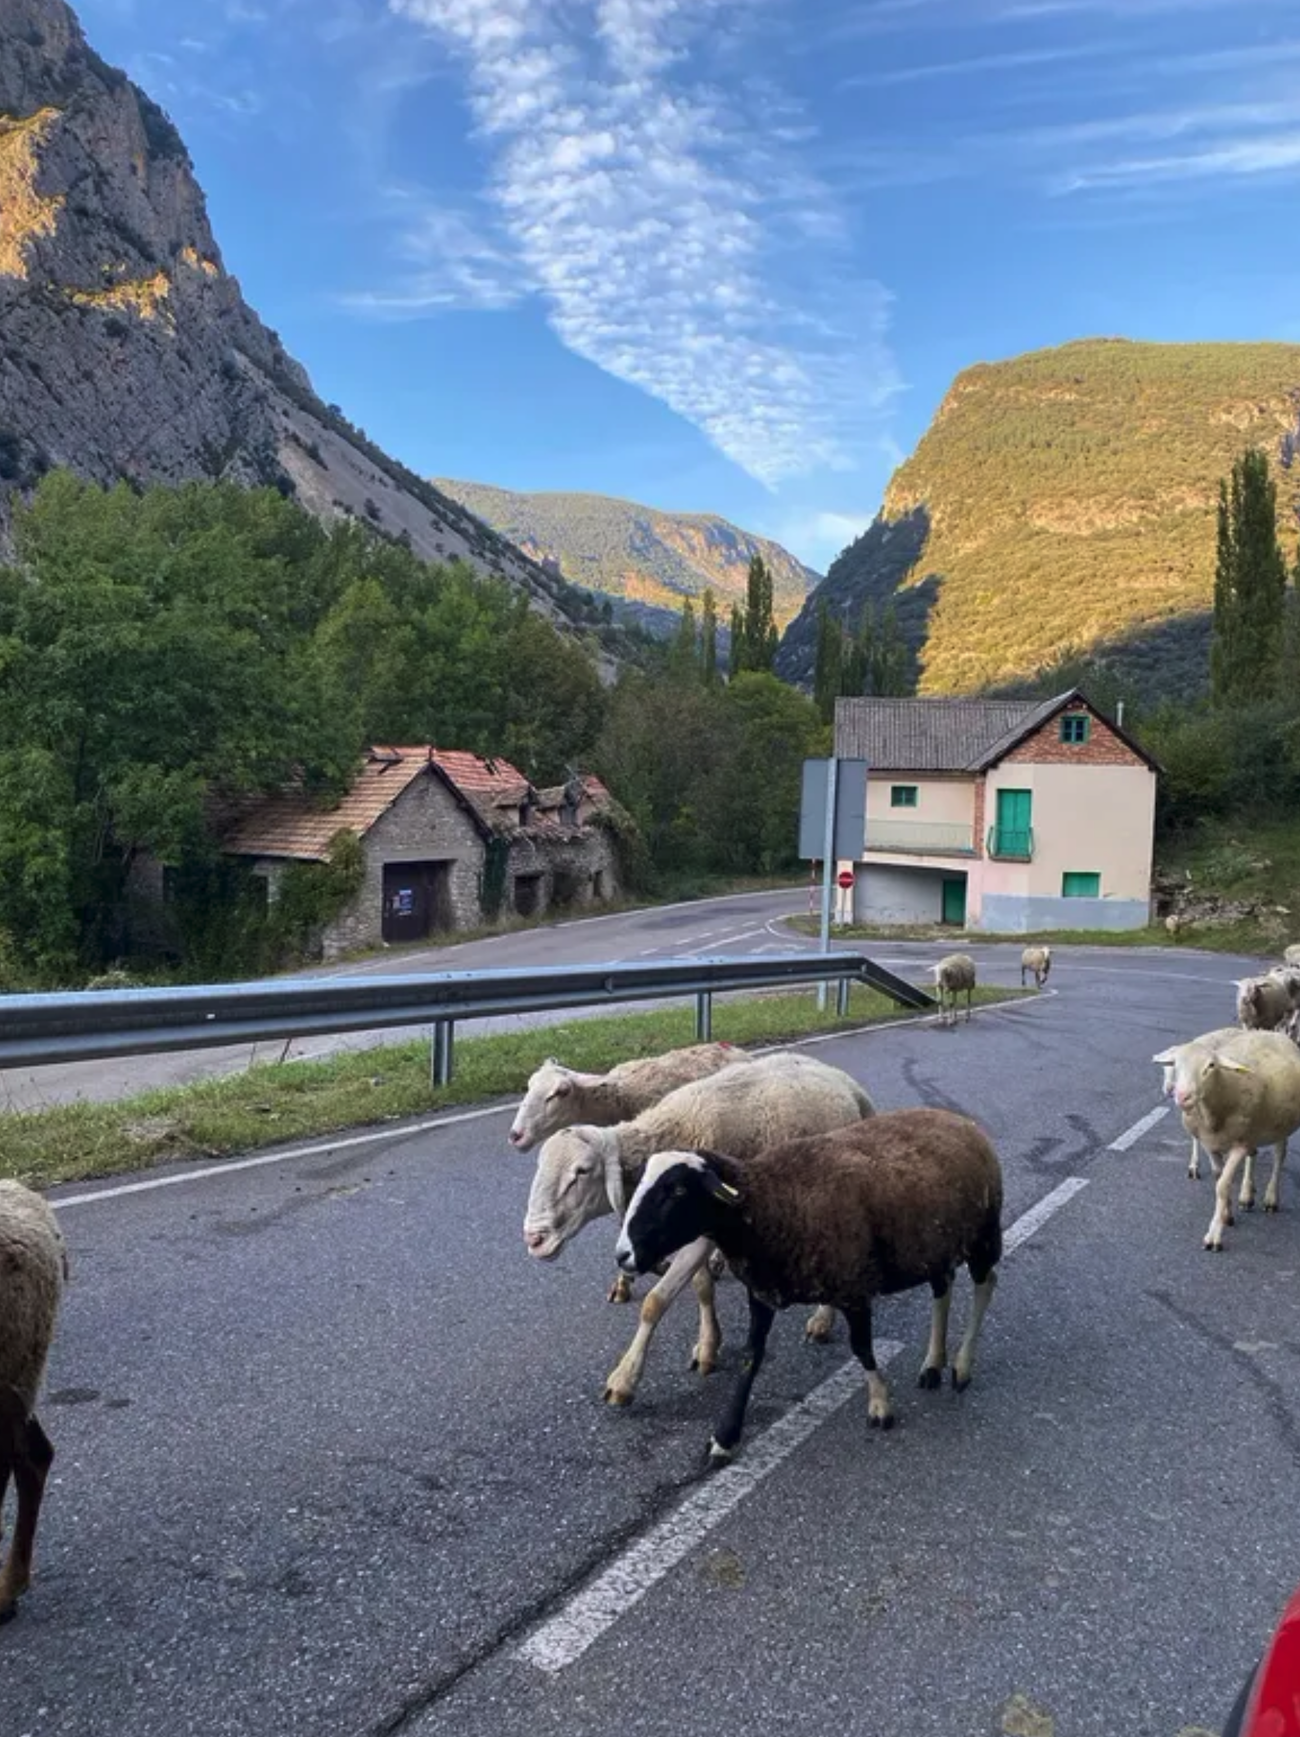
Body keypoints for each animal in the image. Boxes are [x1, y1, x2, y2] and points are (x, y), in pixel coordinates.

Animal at [523, 1051, 874, 1406]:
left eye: (581, 1172)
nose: (534, 1238)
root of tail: (843, 1080)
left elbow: (655, 1302)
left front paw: (624, 1379)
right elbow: (702, 1287)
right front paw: (708, 1346)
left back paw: (822, 1320)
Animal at [613, 1108, 1003, 1464]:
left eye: (677, 1190)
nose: (622, 1255)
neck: (768, 1202)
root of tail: (956, 1118)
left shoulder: (853, 1287)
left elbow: (863, 1349)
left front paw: (880, 1406)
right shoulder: (762, 1292)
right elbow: (751, 1359)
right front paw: (724, 1437)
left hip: (983, 1235)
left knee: (986, 1285)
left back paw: (961, 1368)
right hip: (933, 1245)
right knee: (943, 1289)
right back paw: (932, 1365)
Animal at [1152, 1028, 1300, 1250]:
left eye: (1211, 1066)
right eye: (1175, 1063)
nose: (1181, 1095)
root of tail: (1271, 1032)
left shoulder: (1239, 1144)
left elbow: (1222, 1185)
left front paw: (1214, 1235)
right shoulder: (1210, 1143)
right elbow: (1218, 1176)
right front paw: (1227, 1215)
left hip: (1280, 1124)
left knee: (1279, 1156)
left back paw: (1270, 1199)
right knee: (1254, 1154)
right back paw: (1247, 1195)